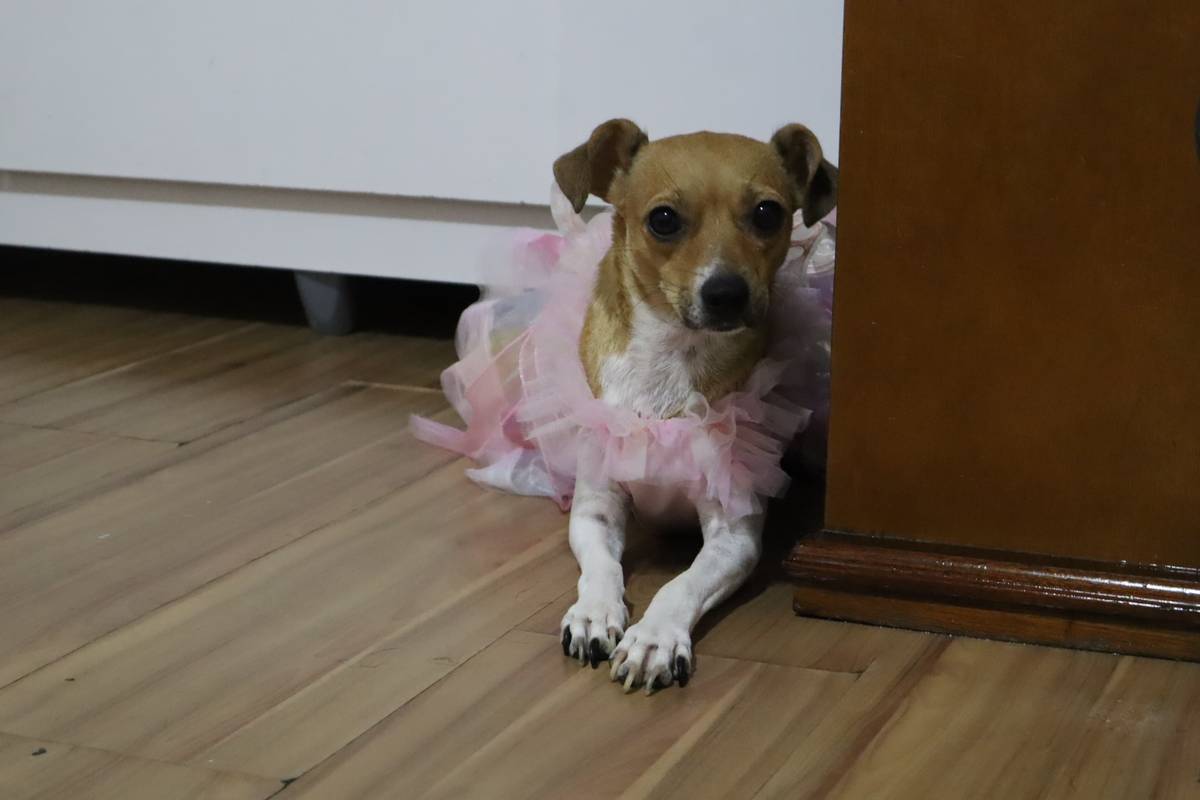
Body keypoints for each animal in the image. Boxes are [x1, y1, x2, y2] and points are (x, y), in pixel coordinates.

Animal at [552, 119, 837, 692]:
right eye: (663, 220)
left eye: (768, 213)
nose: (726, 293)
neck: (672, 359)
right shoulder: (596, 509)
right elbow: (602, 568)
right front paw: (594, 612)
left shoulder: (734, 535)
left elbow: (680, 584)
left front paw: (653, 638)